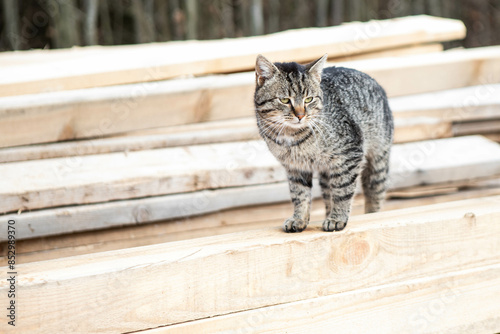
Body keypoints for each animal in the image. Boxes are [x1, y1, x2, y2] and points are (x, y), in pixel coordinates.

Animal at [254, 54, 394, 232]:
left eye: (309, 99)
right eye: (284, 100)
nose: (300, 115)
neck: (291, 137)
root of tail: (376, 83)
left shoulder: (349, 155)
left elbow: (342, 191)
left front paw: (337, 218)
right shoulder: (295, 167)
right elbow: (299, 194)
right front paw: (299, 218)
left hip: (378, 162)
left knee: (374, 194)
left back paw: (371, 214)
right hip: (326, 174)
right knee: (328, 195)